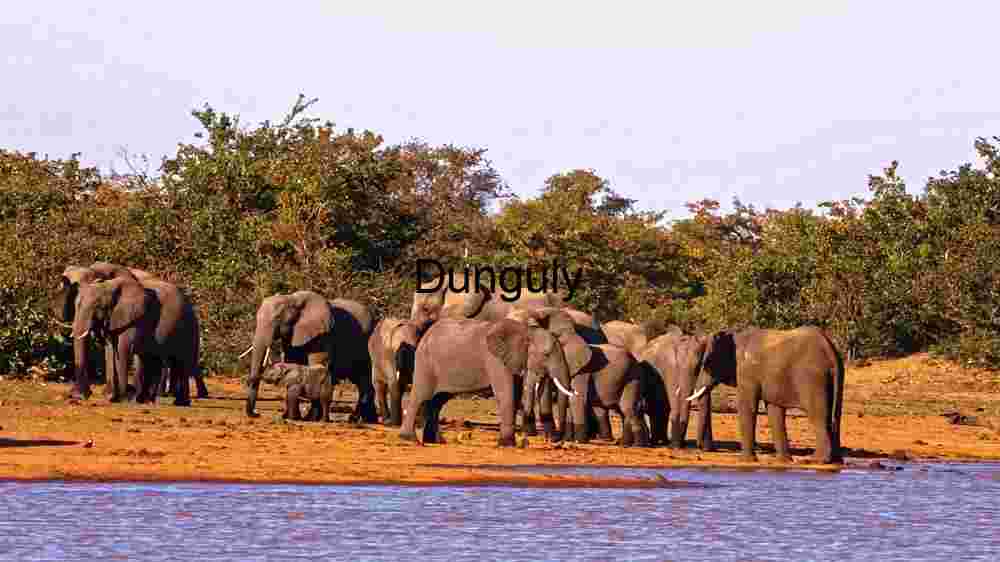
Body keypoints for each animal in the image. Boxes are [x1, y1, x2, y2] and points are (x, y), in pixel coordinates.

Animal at [53, 263, 208, 401]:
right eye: (74, 301)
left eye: (98, 307)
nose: (77, 396)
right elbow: (110, 348)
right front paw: (109, 395)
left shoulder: (130, 315)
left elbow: (120, 348)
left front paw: (116, 396)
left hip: (188, 325)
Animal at [242, 291, 378, 423]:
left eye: (277, 318)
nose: (257, 414)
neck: (292, 299)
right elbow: (292, 362)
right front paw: (290, 417)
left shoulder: (321, 334)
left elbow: (317, 364)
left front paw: (307, 419)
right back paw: (368, 420)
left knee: (364, 380)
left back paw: (357, 419)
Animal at [399, 317, 579, 446]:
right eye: (546, 354)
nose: (556, 441)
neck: (526, 331)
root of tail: (425, 335)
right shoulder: (494, 360)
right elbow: (506, 393)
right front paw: (507, 444)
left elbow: (515, 394)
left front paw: (510, 442)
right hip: (425, 363)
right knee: (421, 396)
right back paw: (410, 440)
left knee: (437, 401)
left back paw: (436, 441)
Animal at [687, 326, 845, 464]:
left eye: (706, 365)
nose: (701, 449)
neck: (734, 335)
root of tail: (830, 349)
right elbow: (774, 411)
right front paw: (783, 461)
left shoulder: (746, 372)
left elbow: (748, 407)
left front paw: (745, 461)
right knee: (835, 416)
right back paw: (836, 461)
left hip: (812, 378)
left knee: (818, 416)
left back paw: (816, 460)